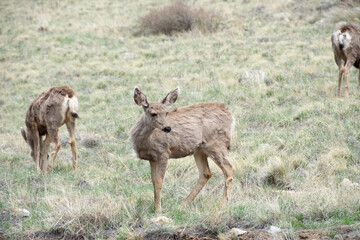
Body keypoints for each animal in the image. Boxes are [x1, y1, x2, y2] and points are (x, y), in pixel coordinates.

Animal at [131, 86, 235, 216]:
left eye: (166, 112)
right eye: (153, 113)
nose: (168, 128)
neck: (146, 142)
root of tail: (230, 115)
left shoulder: (163, 152)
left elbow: (159, 182)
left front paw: (158, 212)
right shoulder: (152, 158)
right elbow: (154, 182)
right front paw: (156, 208)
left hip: (215, 143)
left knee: (228, 168)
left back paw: (223, 204)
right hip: (199, 149)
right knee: (206, 173)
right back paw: (183, 205)